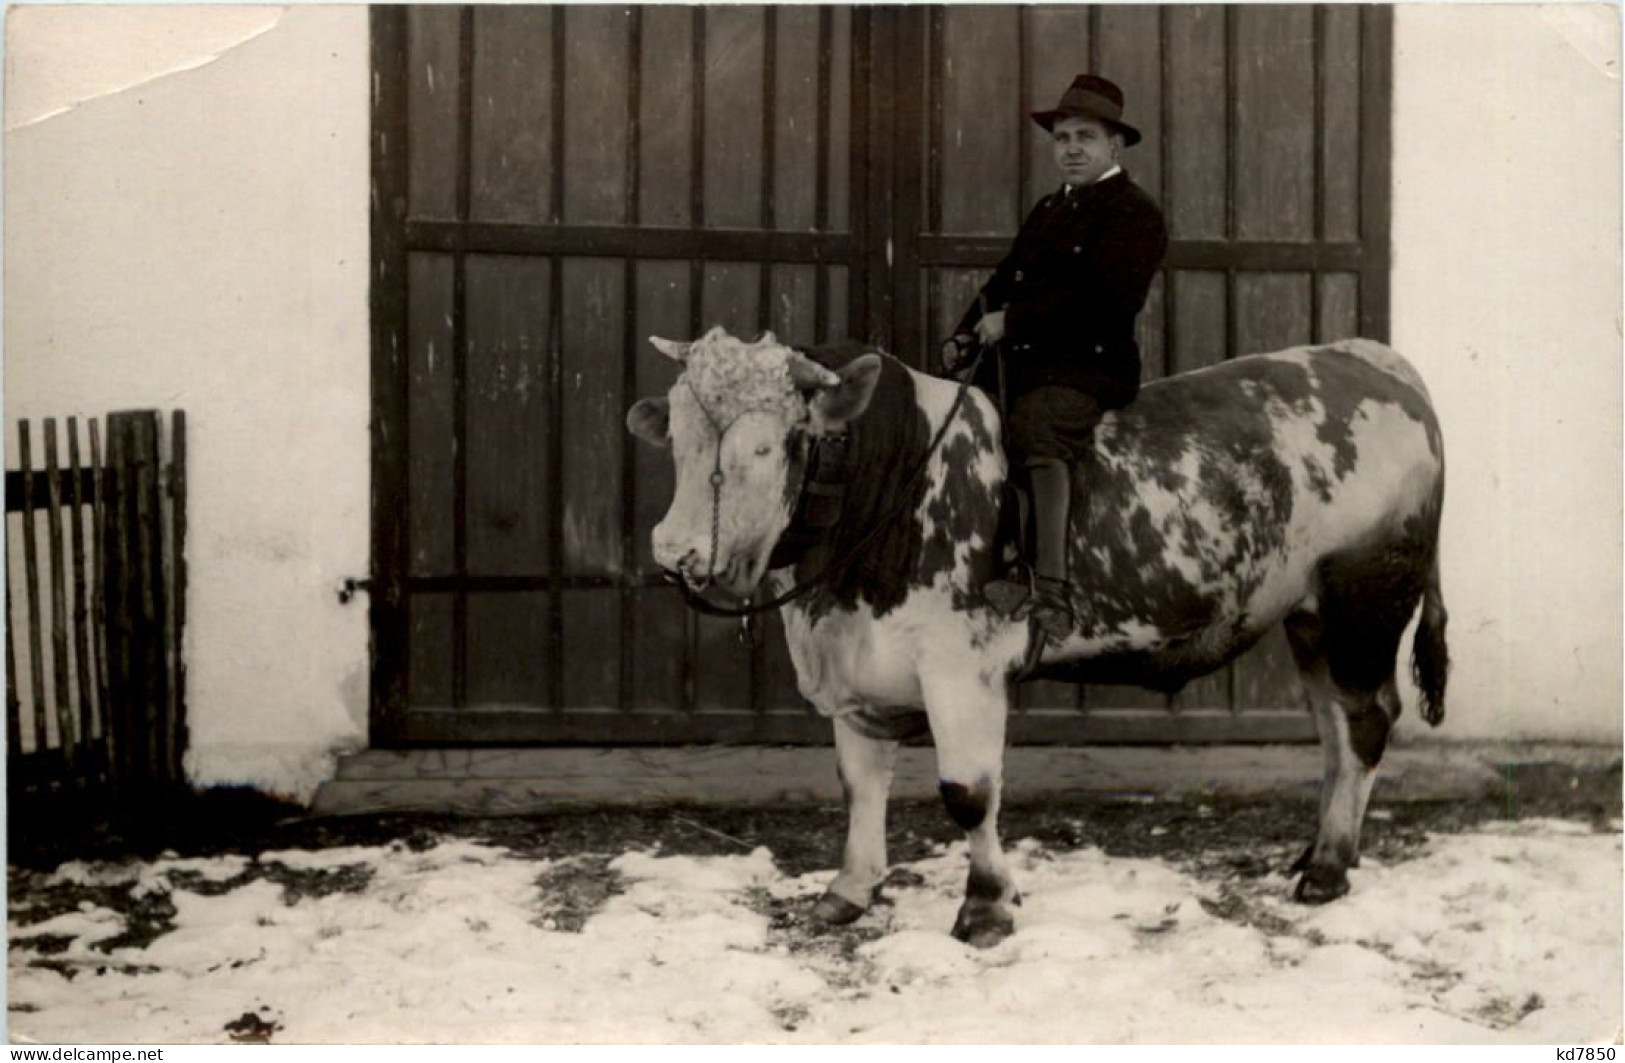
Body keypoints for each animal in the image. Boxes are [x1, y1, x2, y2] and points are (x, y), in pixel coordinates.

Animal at [627, 325, 1456, 949]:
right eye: (677, 438)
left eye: (766, 447)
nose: (674, 550)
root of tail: (1369, 357)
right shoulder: (858, 671)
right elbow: (860, 784)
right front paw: (849, 889)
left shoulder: (959, 668)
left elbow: (967, 792)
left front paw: (986, 907)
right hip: (1308, 616)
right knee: (1331, 728)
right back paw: (1314, 849)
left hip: (1362, 601)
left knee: (1364, 722)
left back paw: (1329, 867)